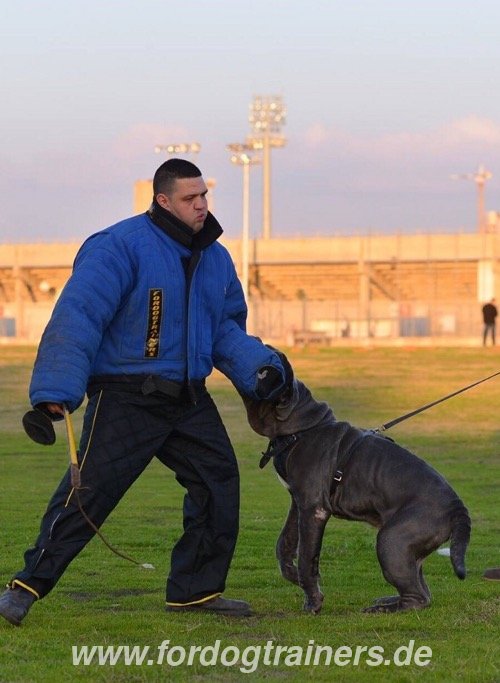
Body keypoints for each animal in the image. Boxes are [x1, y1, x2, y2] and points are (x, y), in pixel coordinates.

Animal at [241, 352, 468, 616]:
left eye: (264, 372)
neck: (301, 427)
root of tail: (457, 508)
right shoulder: (297, 504)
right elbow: (284, 545)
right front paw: (294, 576)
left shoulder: (313, 509)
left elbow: (307, 556)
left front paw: (313, 602)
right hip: (408, 549)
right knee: (421, 591)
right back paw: (387, 600)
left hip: (392, 540)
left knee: (417, 597)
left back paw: (382, 609)